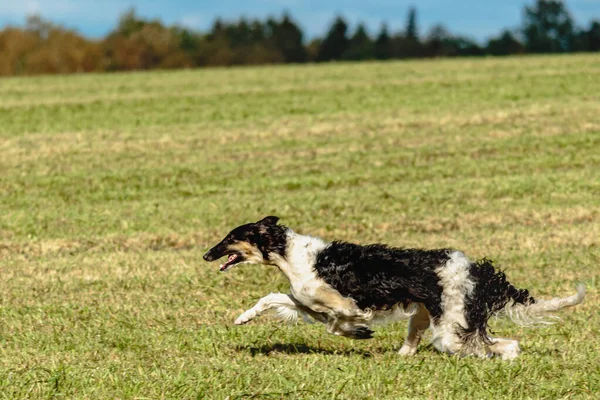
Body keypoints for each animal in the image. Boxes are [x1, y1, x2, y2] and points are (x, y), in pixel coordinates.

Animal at [204, 217, 584, 360]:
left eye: (230, 238)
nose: (206, 254)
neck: (292, 254)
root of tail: (477, 270)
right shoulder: (305, 300)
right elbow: (272, 298)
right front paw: (242, 318)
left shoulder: (343, 302)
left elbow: (341, 320)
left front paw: (359, 331)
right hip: (424, 318)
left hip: (449, 328)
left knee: (499, 345)